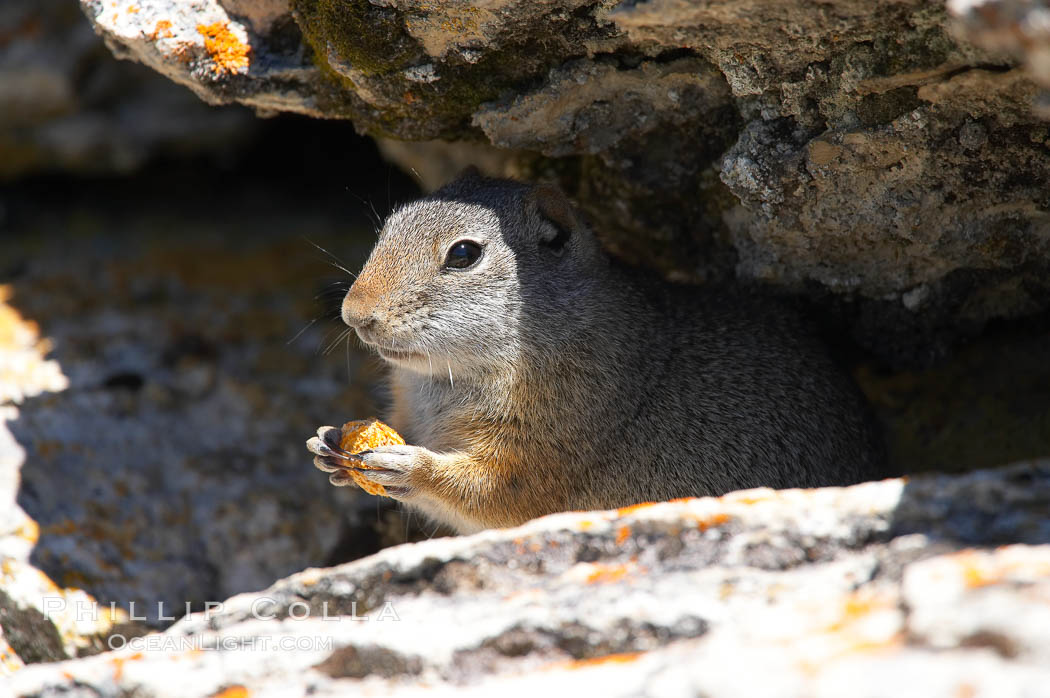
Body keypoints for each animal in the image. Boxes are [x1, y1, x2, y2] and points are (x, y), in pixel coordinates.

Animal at [306, 171, 886, 531]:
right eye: (388, 225)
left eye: (464, 254)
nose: (355, 314)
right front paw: (328, 441)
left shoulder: (546, 445)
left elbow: (488, 491)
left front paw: (407, 465)